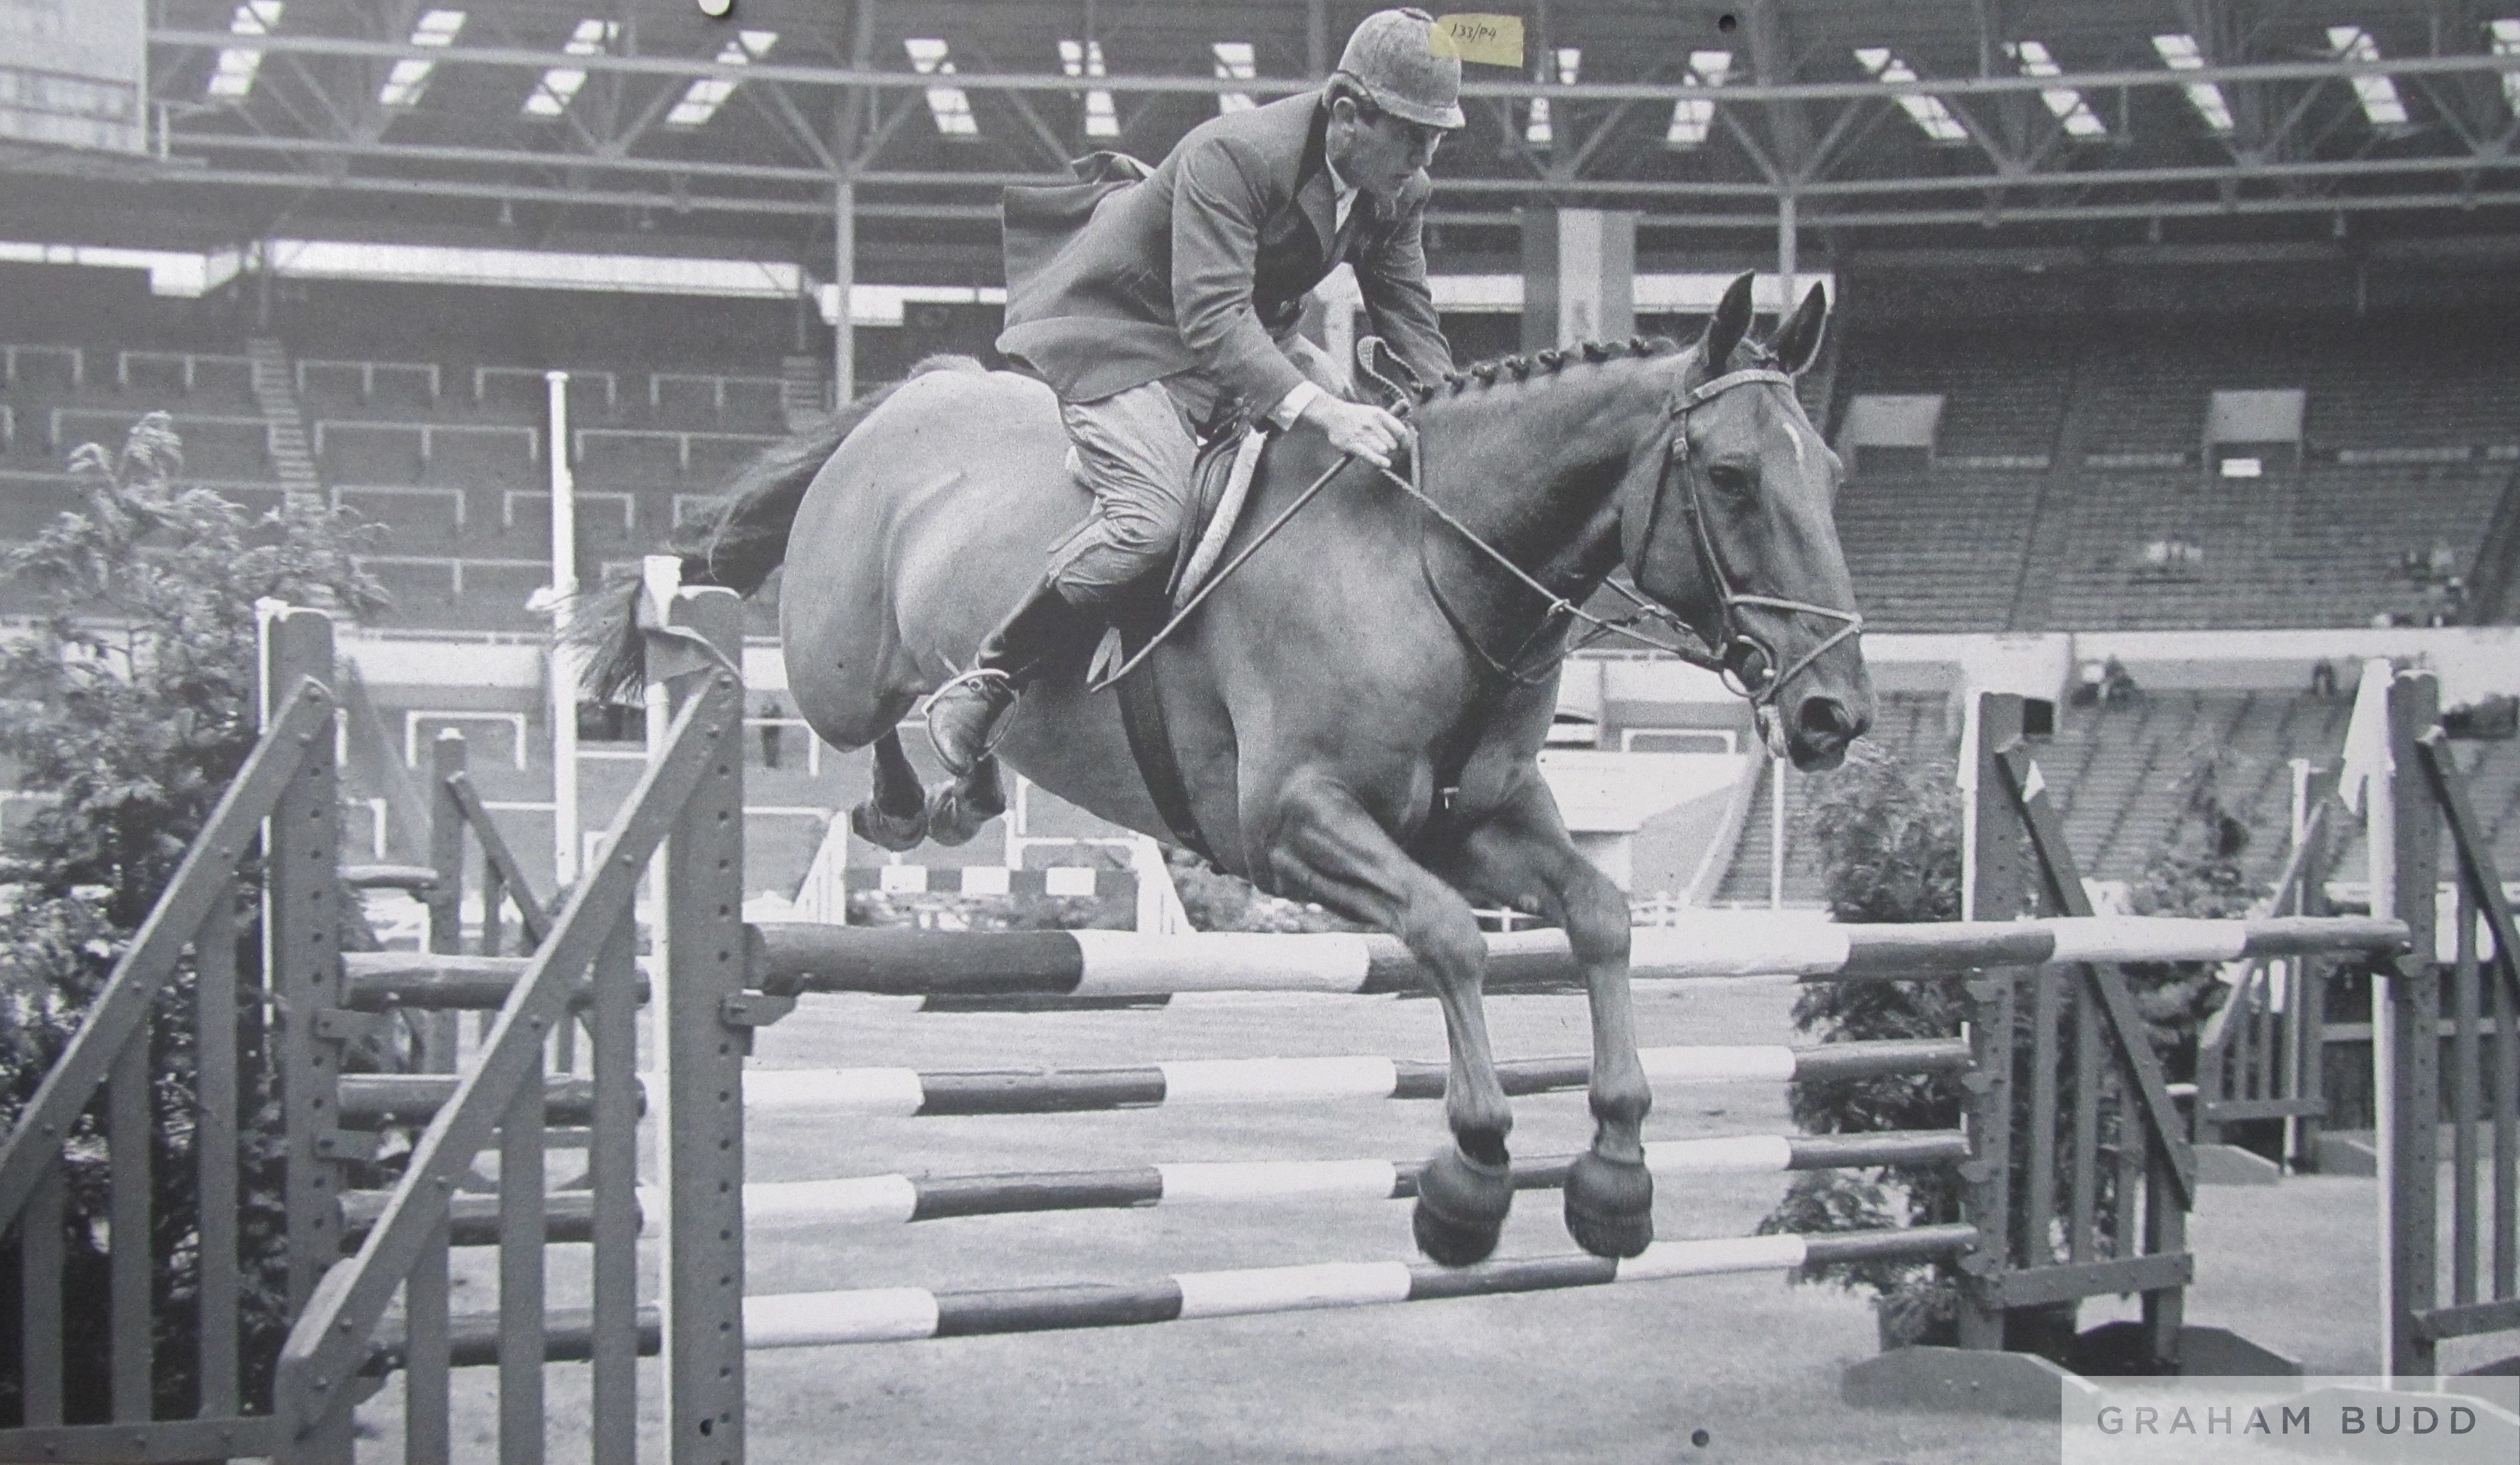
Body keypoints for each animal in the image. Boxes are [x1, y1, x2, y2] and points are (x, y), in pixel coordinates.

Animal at [580, 272, 1872, 1267]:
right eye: (1730, 478)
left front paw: (1613, 1172)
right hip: (833, 658)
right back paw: (909, 770)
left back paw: (964, 780)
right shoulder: (1292, 827)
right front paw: (1469, 1177)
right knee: (837, 702)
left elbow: (1599, 916)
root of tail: (911, 397)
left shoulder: (1474, 821)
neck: (1430, 561)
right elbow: (1451, 937)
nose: (1832, 713)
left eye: (1829, 474)